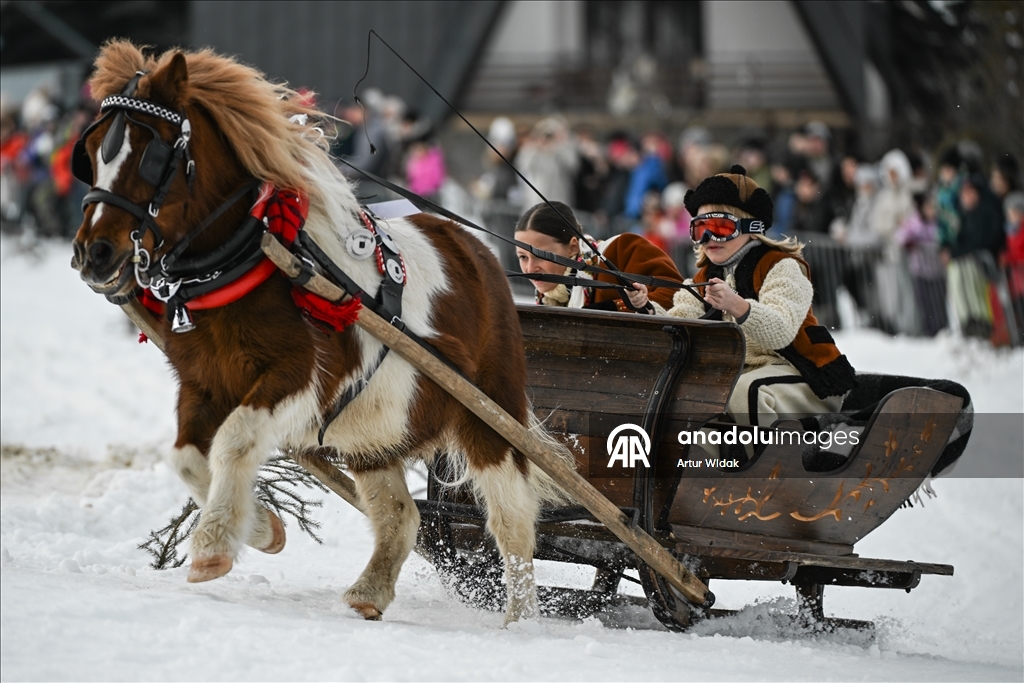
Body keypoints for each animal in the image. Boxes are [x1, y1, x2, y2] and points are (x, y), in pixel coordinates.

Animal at [71, 40, 563, 624]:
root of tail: (478, 249)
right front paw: (263, 528)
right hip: (375, 431)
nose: (93, 253)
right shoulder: (203, 382)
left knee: (513, 518)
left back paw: (519, 616)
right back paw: (370, 591)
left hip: (489, 413)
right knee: (400, 514)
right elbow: (188, 458)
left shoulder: (301, 378)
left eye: (150, 151)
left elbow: (234, 441)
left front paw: (214, 545)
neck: (248, 260)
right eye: (92, 150)